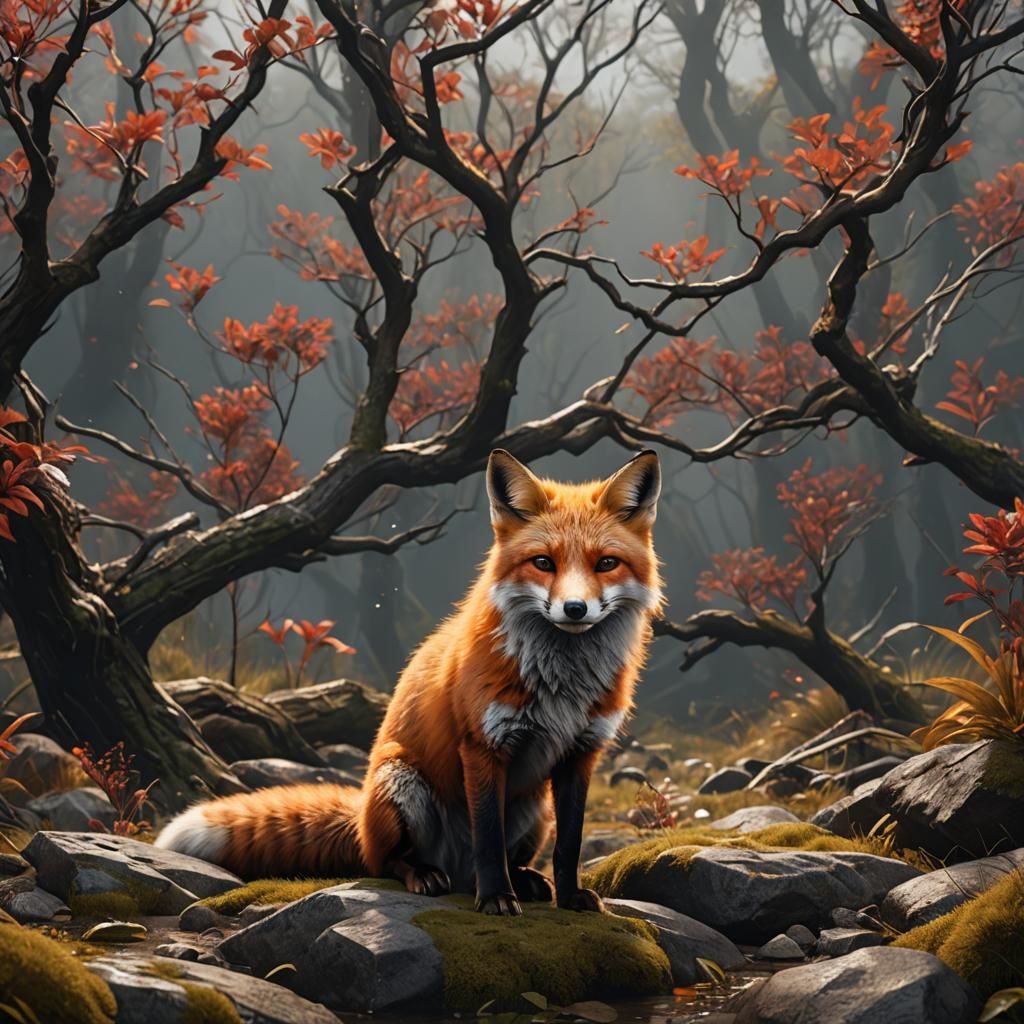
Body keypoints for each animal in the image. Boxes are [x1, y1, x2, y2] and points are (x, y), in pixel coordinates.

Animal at [156, 448, 663, 915]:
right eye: (543, 562)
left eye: (605, 564)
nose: (574, 609)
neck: (561, 684)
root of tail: (360, 817)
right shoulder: (482, 745)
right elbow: (487, 839)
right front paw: (496, 898)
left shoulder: (582, 753)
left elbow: (571, 842)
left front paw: (571, 896)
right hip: (401, 781)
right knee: (387, 862)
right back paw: (428, 875)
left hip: (535, 810)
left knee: (506, 855)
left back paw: (524, 879)